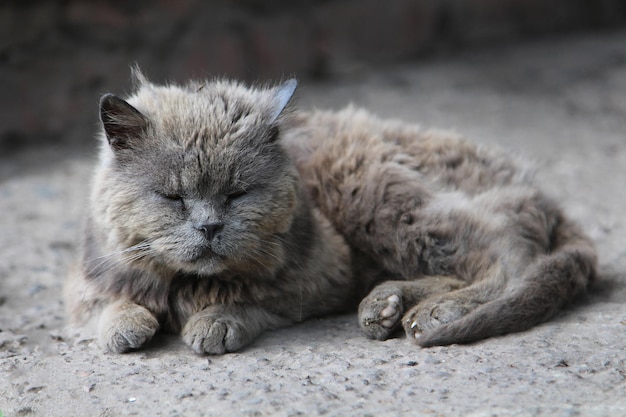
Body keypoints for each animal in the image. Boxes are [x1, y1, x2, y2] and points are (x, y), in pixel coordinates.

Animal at [63, 69, 596, 354]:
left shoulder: (323, 275)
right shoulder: (87, 278)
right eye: (173, 197)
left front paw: (218, 320)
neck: (186, 283)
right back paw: (388, 306)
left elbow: (258, 299)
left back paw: (432, 314)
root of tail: (535, 187)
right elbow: (106, 302)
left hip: (374, 191)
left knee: (509, 259)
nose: (210, 226)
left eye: (237, 194)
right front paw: (125, 324)